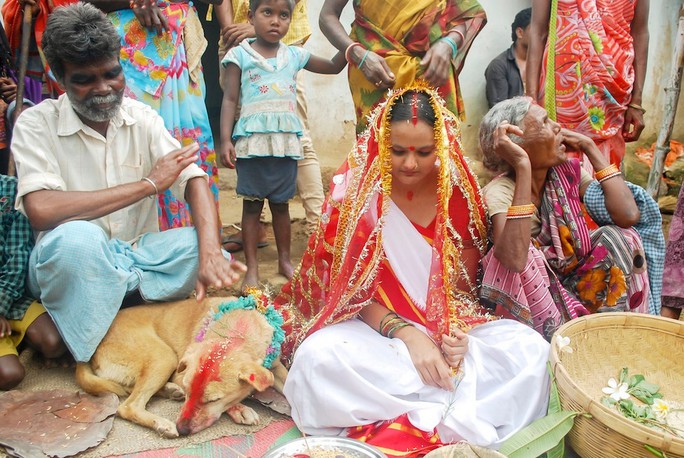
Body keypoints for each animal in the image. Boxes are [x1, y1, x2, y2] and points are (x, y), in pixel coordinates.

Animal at [75, 296, 288, 438]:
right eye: (188, 390)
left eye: (213, 400)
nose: (182, 430)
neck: (236, 332)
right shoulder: (180, 372)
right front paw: (240, 409)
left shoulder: (275, 366)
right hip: (164, 356)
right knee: (128, 405)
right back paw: (162, 423)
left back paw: (170, 391)